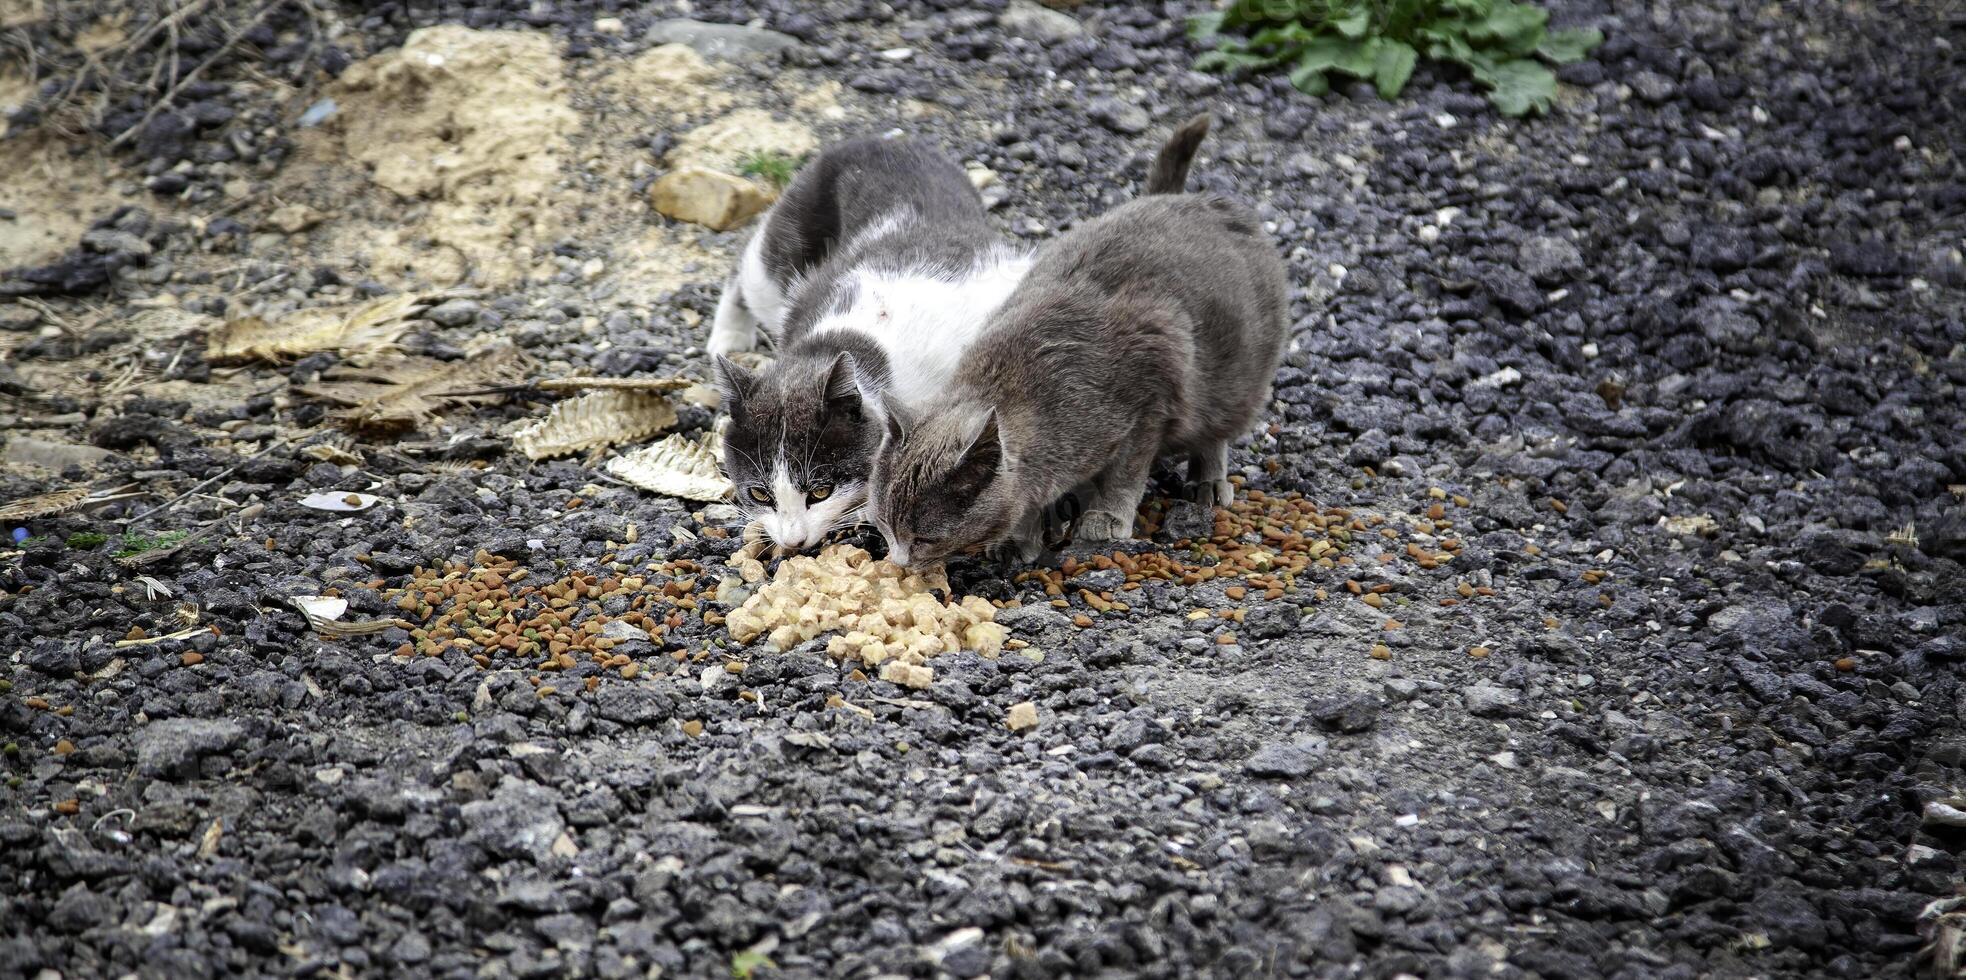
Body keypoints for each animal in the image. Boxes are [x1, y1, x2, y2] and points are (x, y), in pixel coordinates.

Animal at [707, 137, 1030, 551]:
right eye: (760, 493)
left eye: (821, 491)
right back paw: (729, 337)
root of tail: (884, 140)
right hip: (777, 259)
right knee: (745, 264)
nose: (793, 540)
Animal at [865, 116, 1289, 566]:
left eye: (923, 539)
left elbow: (1126, 471)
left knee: (1215, 430)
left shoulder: (1151, 393)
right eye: (884, 526)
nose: (897, 562)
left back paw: (1206, 481)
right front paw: (1021, 537)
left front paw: (1104, 519)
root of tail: (1187, 200)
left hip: (1233, 377)